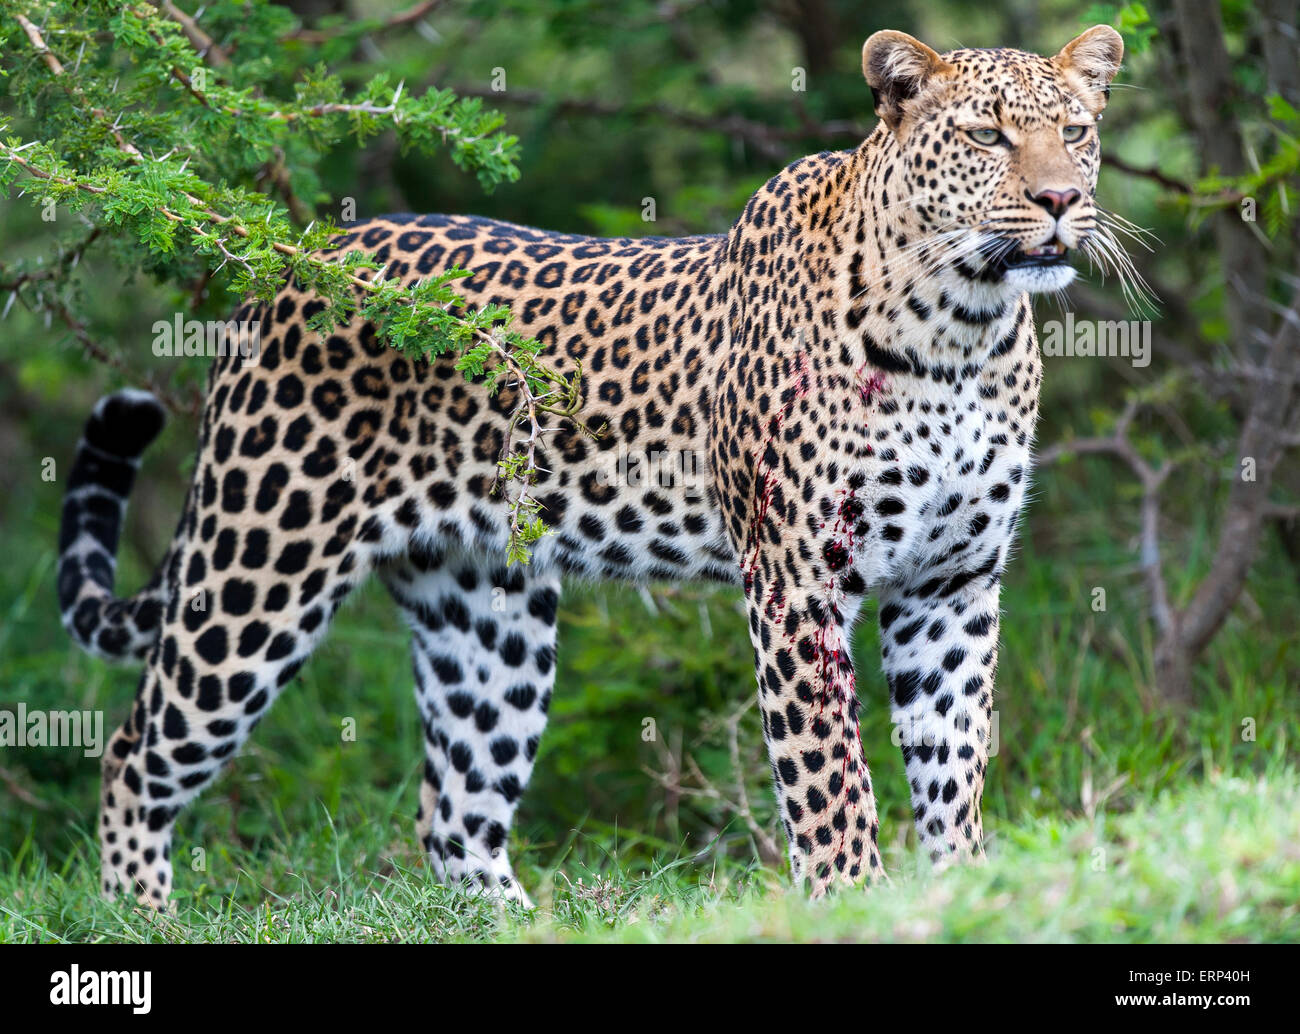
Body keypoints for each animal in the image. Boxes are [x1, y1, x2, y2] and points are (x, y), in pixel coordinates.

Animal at [55, 28, 1123, 910]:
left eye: (1075, 132)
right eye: (986, 136)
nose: (1061, 201)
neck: (961, 328)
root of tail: (288, 263)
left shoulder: (952, 582)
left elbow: (953, 759)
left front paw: (965, 887)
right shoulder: (797, 579)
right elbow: (829, 777)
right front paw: (853, 900)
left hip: (484, 613)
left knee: (455, 811)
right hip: (258, 569)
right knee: (132, 750)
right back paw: (140, 917)